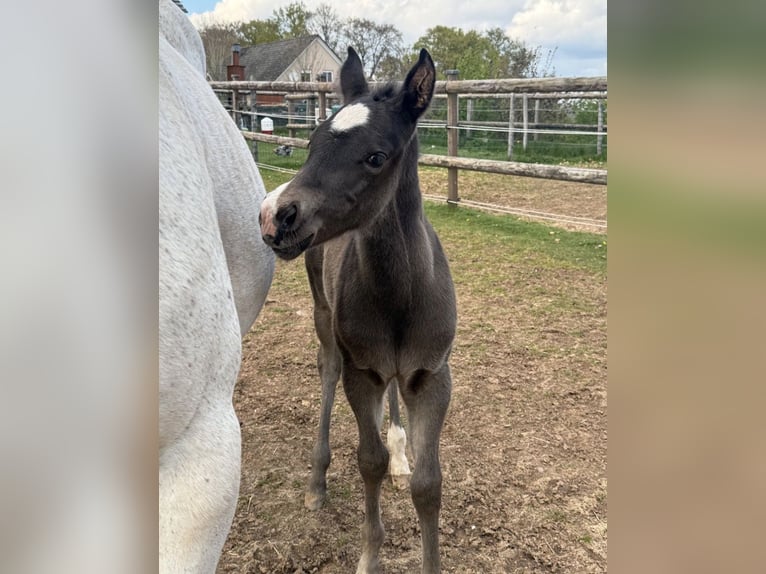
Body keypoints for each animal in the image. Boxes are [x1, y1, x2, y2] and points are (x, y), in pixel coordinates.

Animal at [260, 47, 457, 574]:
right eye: (311, 143)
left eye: (375, 157)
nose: (274, 216)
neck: (399, 298)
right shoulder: (362, 372)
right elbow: (369, 462)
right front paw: (370, 555)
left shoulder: (431, 376)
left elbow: (429, 484)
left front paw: (408, 461)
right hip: (324, 318)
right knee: (326, 371)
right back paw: (317, 482)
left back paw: (401, 448)